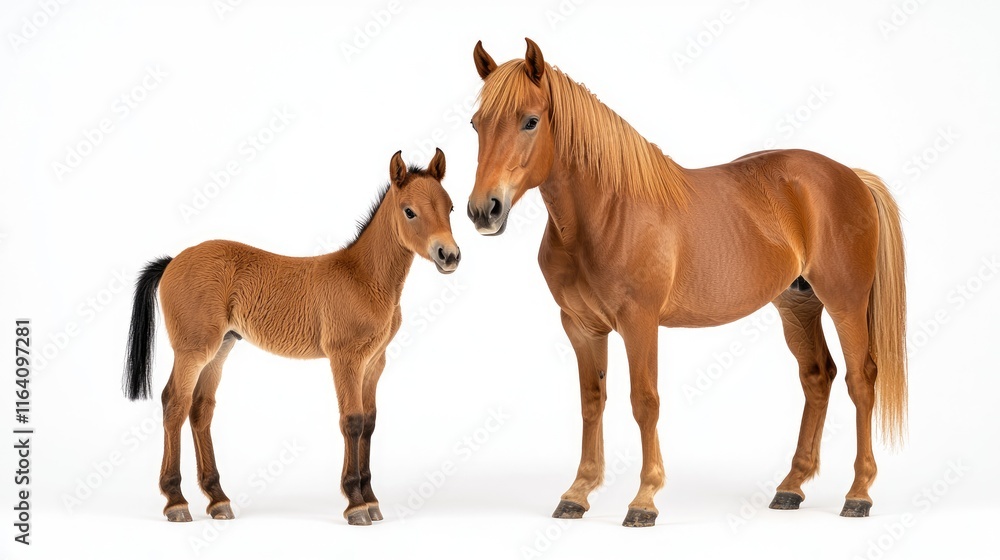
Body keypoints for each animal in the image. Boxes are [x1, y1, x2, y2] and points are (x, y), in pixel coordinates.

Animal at [122, 148, 460, 526]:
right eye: (409, 211)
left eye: (450, 208)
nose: (449, 255)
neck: (363, 277)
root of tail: (172, 261)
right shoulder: (345, 358)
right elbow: (352, 421)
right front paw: (355, 503)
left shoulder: (375, 362)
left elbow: (370, 422)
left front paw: (372, 500)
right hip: (193, 350)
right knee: (174, 403)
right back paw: (175, 501)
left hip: (221, 348)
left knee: (200, 409)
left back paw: (217, 499)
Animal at [466, 39, 906, 527]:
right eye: (476, 123)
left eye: (530, 120)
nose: (484, 210)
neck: (607, 212)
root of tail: (851, 176)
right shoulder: (582, 327)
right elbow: (591, 401)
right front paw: (577, 493)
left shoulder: (639, 323)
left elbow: (644, 402)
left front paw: (644, 499)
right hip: (797, 305)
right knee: (817, 376)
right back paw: (791, 488)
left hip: (846, 302)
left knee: (860, 380)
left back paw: (859, 493)